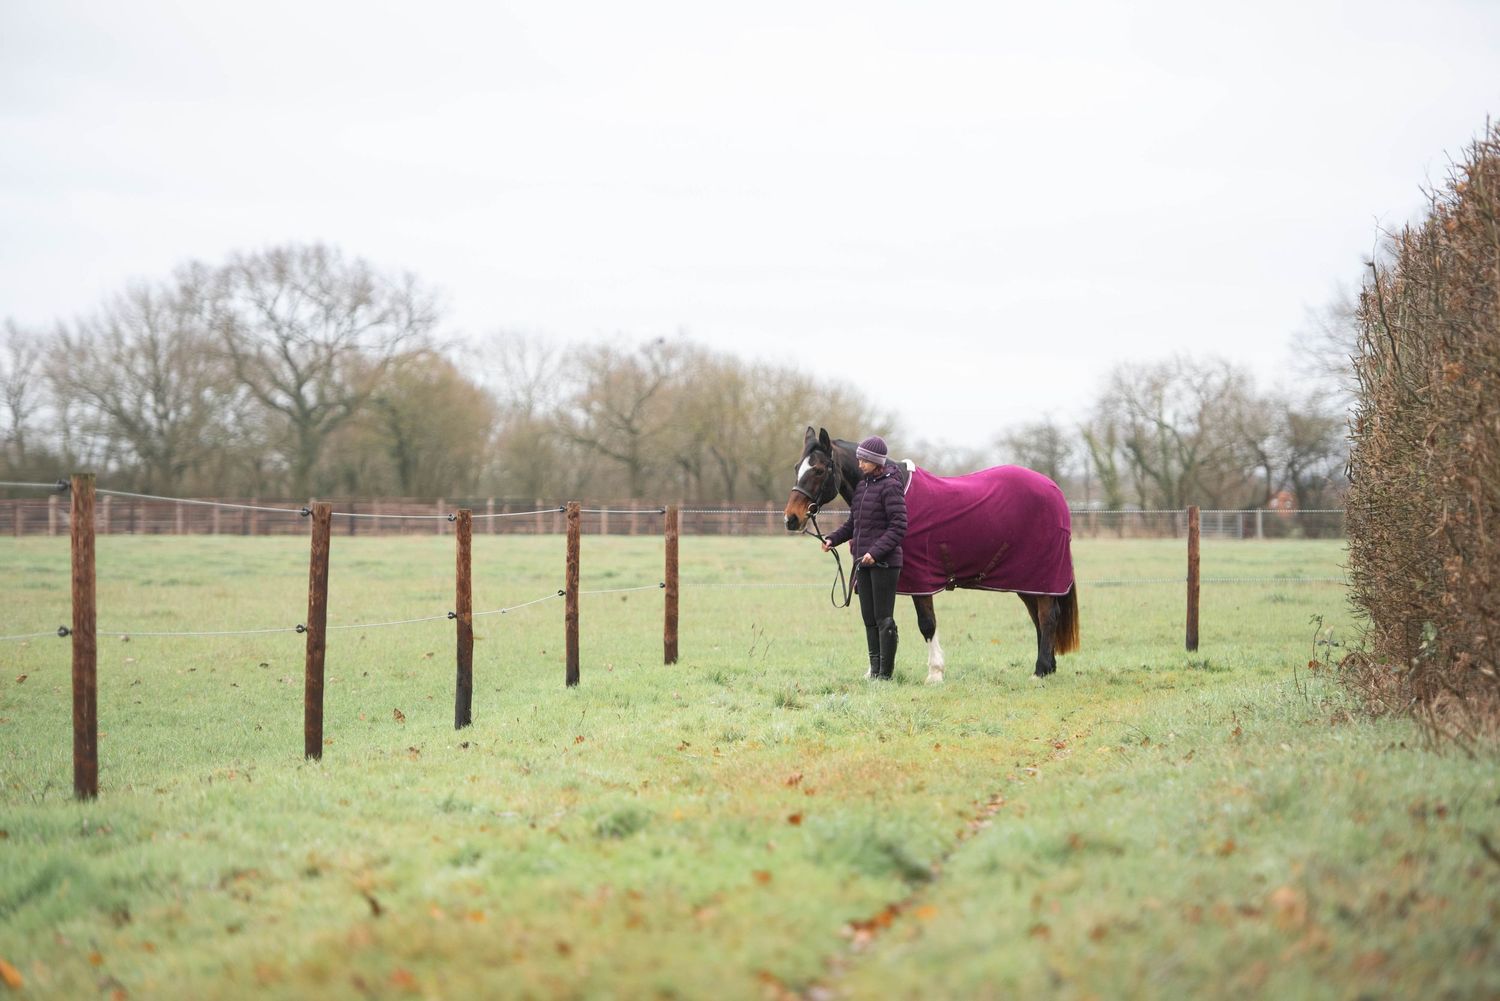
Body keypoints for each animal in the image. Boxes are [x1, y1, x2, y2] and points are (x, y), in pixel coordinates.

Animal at [784, 427, 1080, 682]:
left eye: (818, 470)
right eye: (797, 468)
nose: (791, 519)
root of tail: (1055, 490)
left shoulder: (920, 580)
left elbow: (926, 623)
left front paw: (935, 673)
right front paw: (873, 672)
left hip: (1041, 575)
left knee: (1047, 615)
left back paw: (1040, 671)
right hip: (1028, 579)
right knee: (1039, 615)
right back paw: (1047, 668)